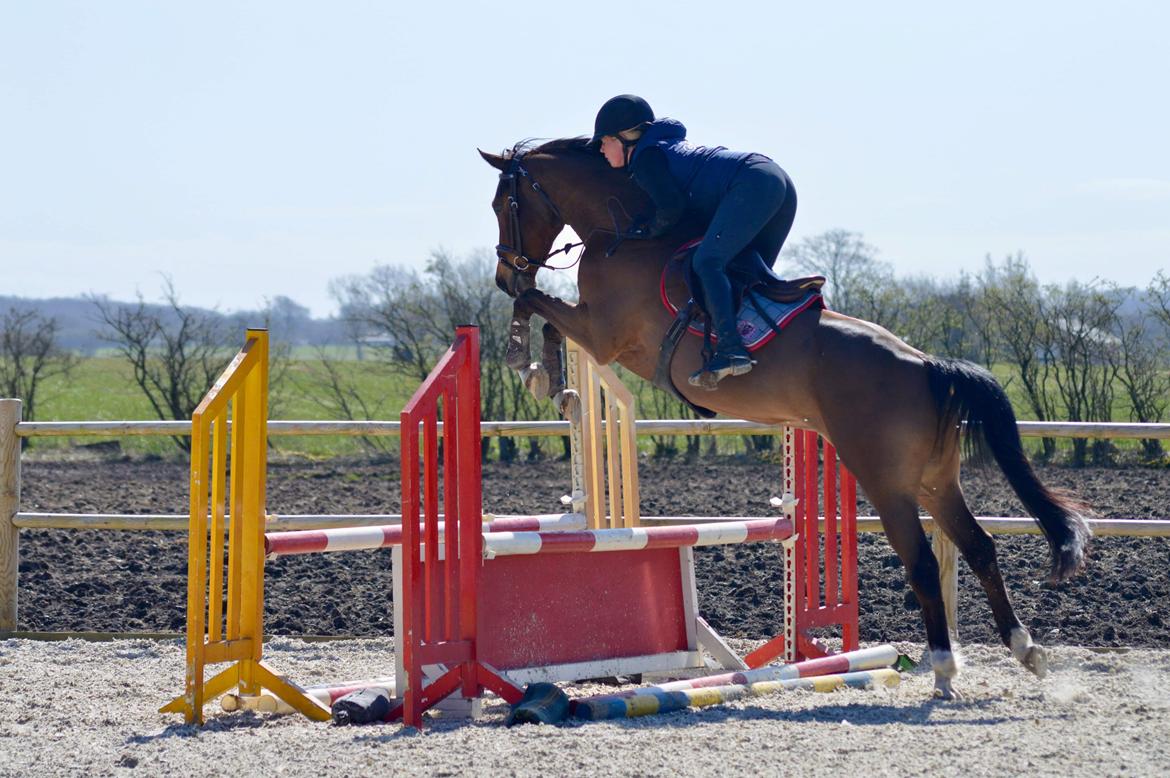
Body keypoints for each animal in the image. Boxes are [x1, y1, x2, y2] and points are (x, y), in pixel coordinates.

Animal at [475, 135, 1085, 697]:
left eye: (504, 202)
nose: (506, 274)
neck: (617, 232)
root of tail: (927, 366)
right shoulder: (596, 332)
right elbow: (544, 313)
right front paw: (549, 377)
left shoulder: (602, 334)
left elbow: (538, 307)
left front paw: (525, 364)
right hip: (936, 480)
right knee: (979, 546)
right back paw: (1024, 648)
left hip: (887, 482)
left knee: (923, 563)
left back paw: (943, 668)